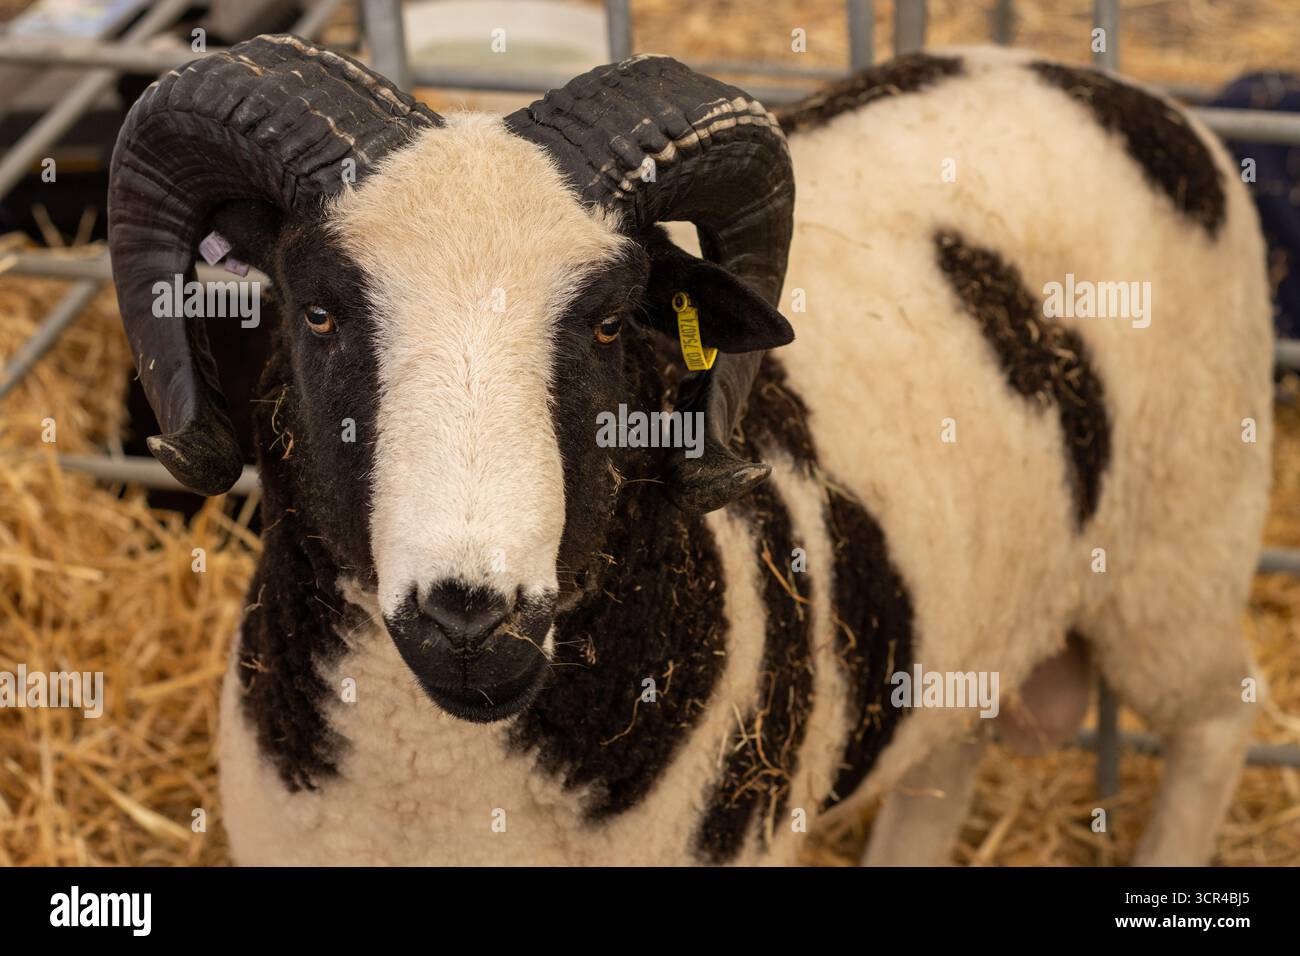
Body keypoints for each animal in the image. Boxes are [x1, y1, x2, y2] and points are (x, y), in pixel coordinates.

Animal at [106, 36, 1271, 866]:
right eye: (317, 312)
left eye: (609, 324)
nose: (471, 616)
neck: (444, 790)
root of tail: (1116, 90)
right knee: (952, 755)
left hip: (1181, 551)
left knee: (1221, 716)